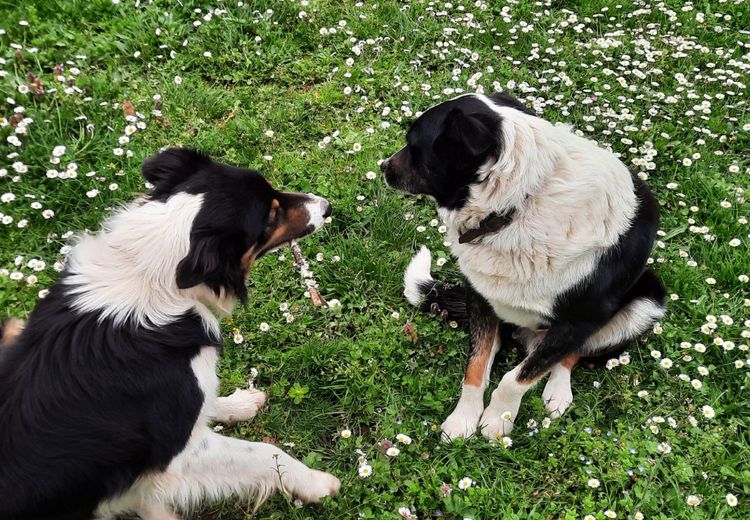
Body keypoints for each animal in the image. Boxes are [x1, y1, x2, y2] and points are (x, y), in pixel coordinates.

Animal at [0, 148, 340, 516]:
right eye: (271, 215)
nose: (326, 207)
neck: (148, 273)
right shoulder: (175, 458)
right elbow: (265, 453)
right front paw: (316, 483)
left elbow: (207, 398)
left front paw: (240, 402)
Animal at [384, 92, 668, 438]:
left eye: (413, 146)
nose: (382, 167)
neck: (516, 205)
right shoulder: (482, 297)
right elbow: (475, 367)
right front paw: (463, 420)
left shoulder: (579, 321)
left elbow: (517, 378)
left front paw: (497, 421)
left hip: (645, 304)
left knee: (566, 357)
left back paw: (557, 392)